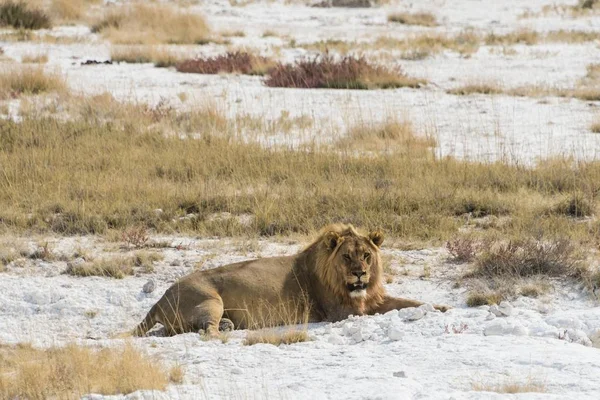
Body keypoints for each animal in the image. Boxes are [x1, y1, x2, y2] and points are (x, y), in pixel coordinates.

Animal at [132, 223, 450, 336]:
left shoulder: (372, 297)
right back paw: (224, 332)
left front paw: (443, 308)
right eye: (347, 257)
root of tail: (159, 299)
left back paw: (228, 326)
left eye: (366, 256)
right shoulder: (343, 312)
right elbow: (392, 309)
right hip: (210, 300)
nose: (360, 272)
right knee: (205, 331)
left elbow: (410, 301)